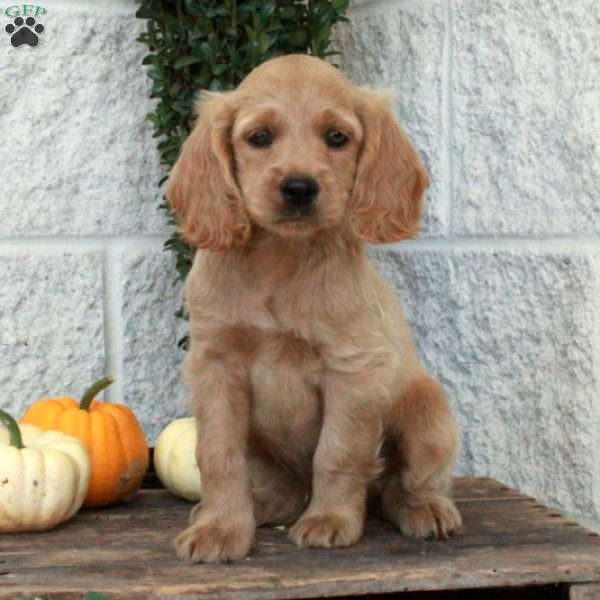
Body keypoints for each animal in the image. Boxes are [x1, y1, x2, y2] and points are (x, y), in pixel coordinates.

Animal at [166, 52, 462, 564]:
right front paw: (220, 528)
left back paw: (424, 508)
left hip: (428, 414)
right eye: (259, 137)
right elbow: (218, 455)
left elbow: (337, 452)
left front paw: (330, 520)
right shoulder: (216, 365)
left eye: (337, 138)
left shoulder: (352, 367)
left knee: (401, 484)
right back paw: (256, 507)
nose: (299, 188)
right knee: (285, 489)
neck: (281, 258)